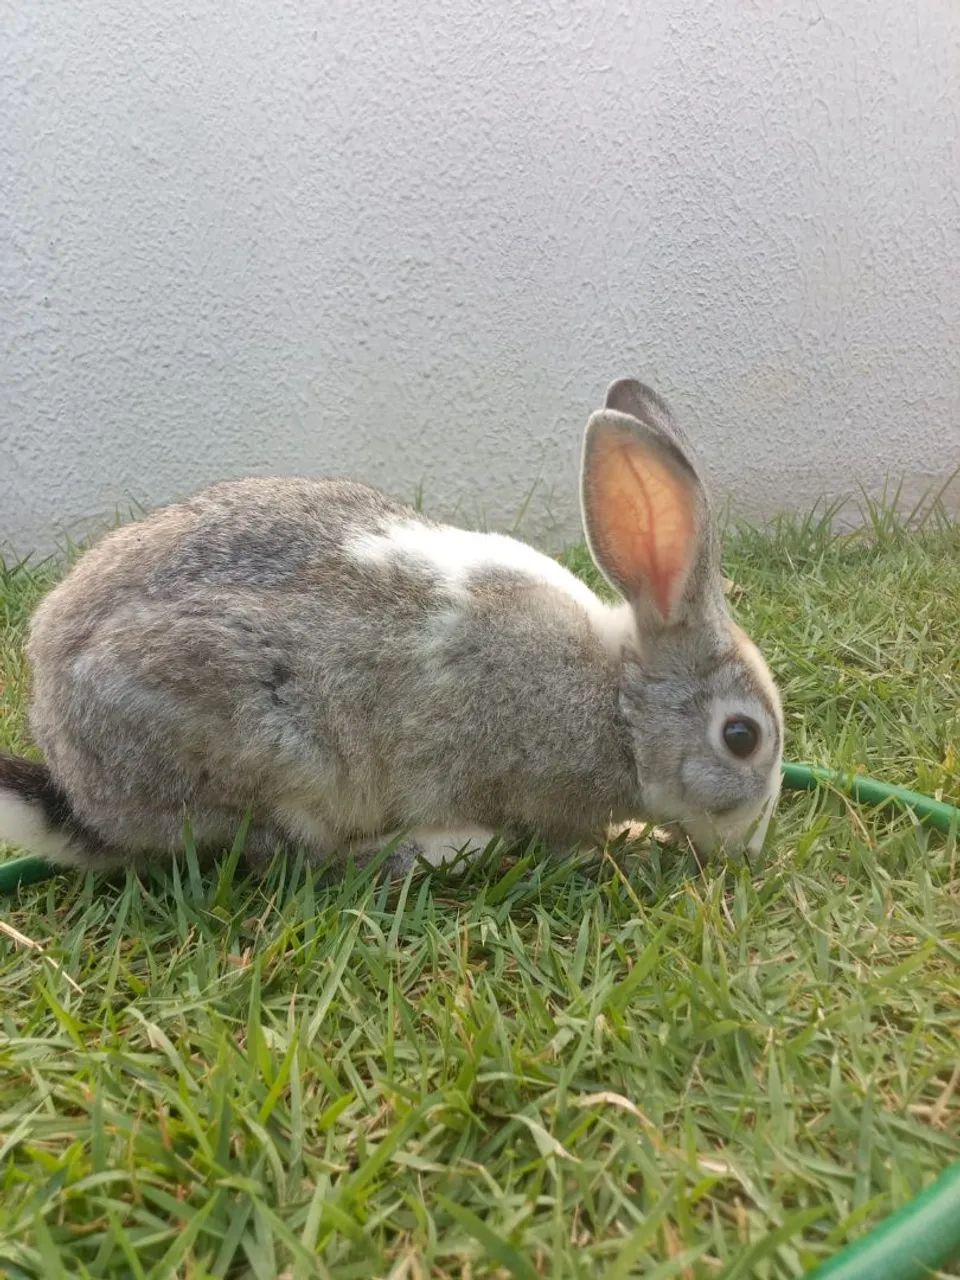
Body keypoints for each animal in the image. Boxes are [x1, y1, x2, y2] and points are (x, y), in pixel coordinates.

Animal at [0, 378, 783, 876]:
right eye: (742, 737)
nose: (749, 847)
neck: (618, 702)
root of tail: (81, 794)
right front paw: (629, 837)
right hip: (271, 759)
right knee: (299, 858)